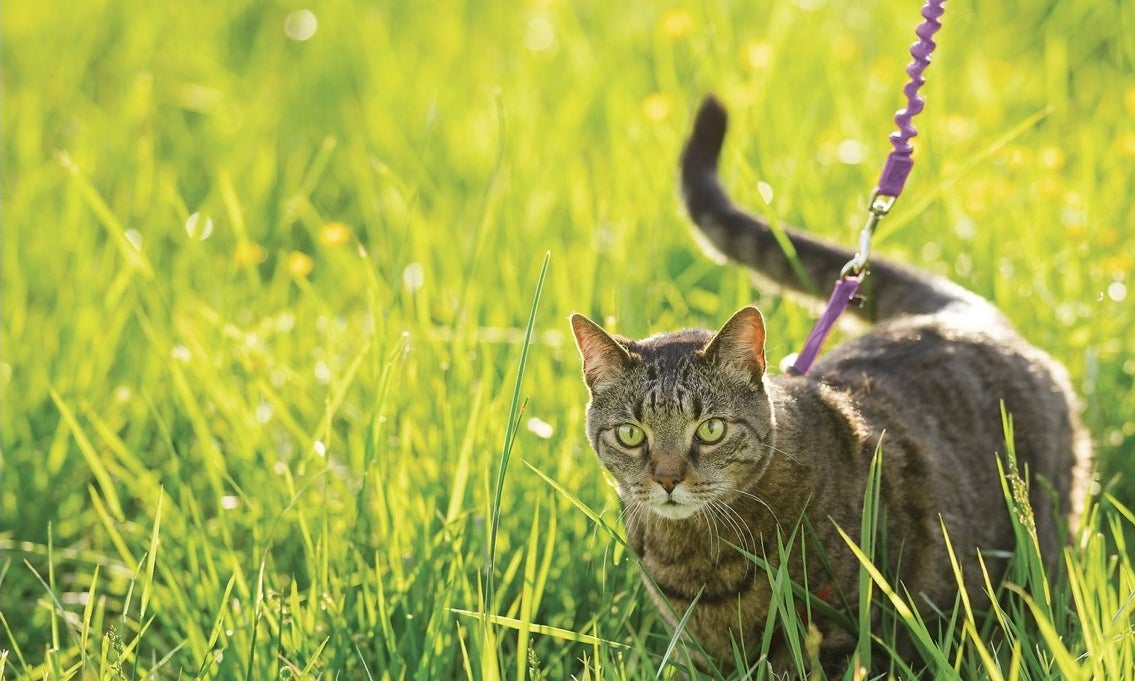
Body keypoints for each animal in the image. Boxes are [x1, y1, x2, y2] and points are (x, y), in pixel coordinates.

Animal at [572, 95, 1094, 676]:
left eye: (710, 430)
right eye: (631, 435)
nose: (666, 479)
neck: (696, 556)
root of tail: (962, 315)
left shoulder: (845, 634)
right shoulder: (697, 651)